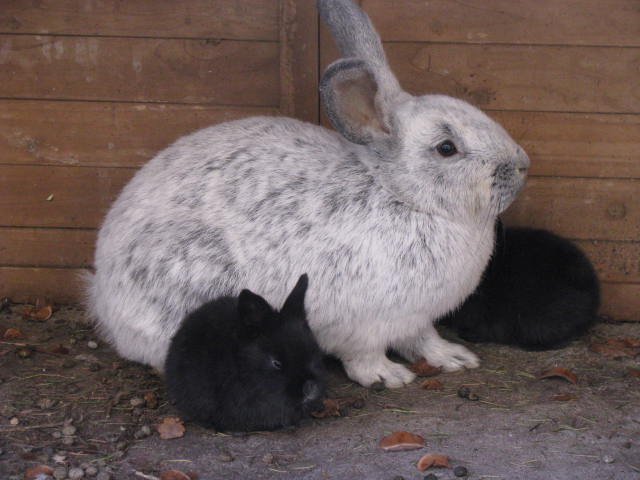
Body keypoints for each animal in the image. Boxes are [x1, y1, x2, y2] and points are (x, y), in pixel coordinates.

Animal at [86, 0, 528, 388]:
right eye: (446, 148)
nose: (522, 166)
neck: (401, 195)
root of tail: (103, 294)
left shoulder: (415, 318)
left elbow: (423, 339)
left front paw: (455, 358)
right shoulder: (361, 325)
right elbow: (364, 357)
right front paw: (388, 377)